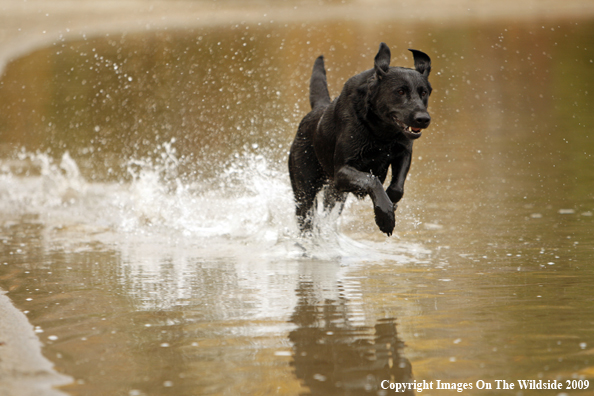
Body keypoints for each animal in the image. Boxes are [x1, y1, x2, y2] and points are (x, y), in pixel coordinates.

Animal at [286, 43, 430, 235]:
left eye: (424, 92)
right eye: (400, 91)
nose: (423, 118)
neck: (381, 133)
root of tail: (316, 110)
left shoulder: (404, 152)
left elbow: (397, 188)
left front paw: (391, 203)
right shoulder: (342, 172)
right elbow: (372, 180)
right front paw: (385, 216)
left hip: (335, 194)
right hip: (305, 188)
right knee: (306, 219)